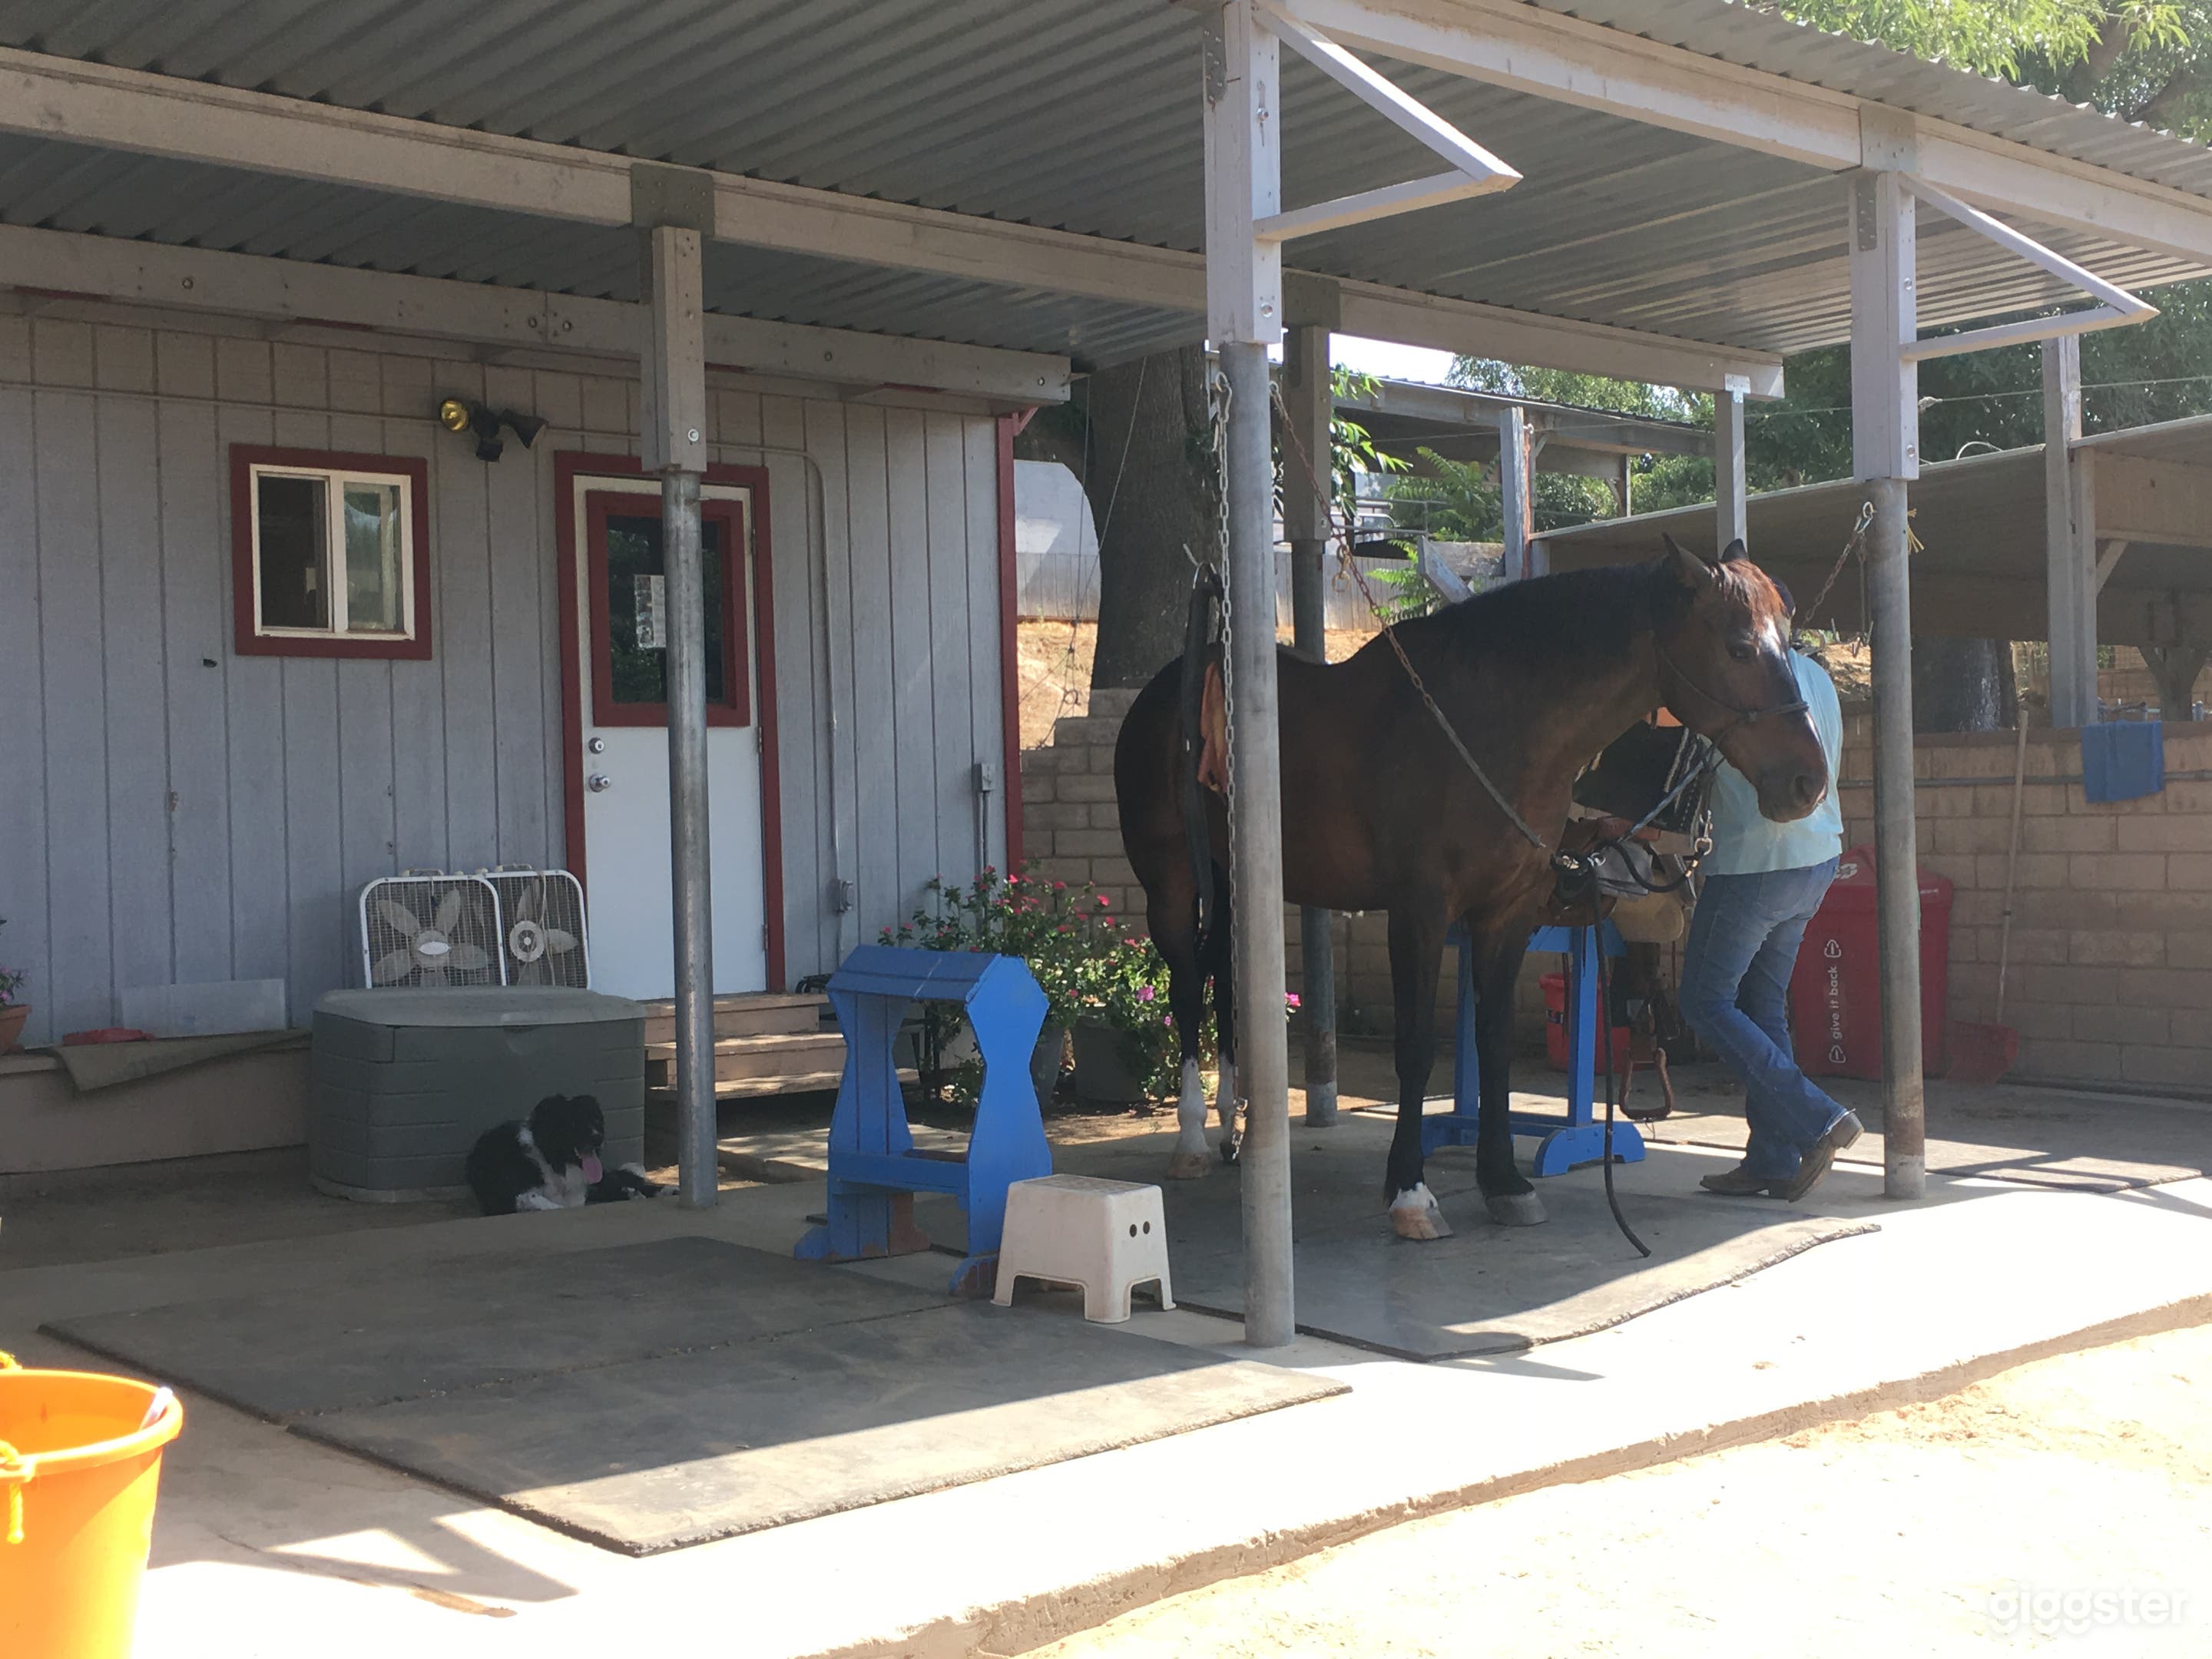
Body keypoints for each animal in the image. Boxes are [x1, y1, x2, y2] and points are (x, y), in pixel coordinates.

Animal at [1112, 537, 1828, 1240]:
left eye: (1787, 640)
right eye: (1738, 647)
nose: (1809, 782)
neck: (1491, 725)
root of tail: (1164, 691)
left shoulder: (1506, 914)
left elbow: (1493, 1046)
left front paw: (1504, 1182)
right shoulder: (1420, 913)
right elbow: (1415, 1049)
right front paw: (1410, 1191)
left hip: (1230, 874)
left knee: (1223, 980)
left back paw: (1232, 1131)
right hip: (1171, 882)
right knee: (1185, 988)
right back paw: (1192, 1141)